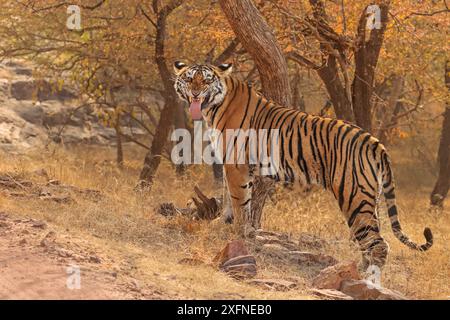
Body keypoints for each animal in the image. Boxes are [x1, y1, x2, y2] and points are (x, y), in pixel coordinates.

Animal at [172, 60, 432, 268]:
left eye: (206, 81)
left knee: (378, 243)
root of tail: (374, 140)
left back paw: (366, 278)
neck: (215, 107)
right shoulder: (229, 164)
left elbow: (240, 202)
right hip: (370, 196)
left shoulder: (237, 165)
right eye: (189, 78)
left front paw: (237, 233)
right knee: (370, 240)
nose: (195, 94)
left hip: (354, 195)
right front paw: (225, 224)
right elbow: (228, 196)